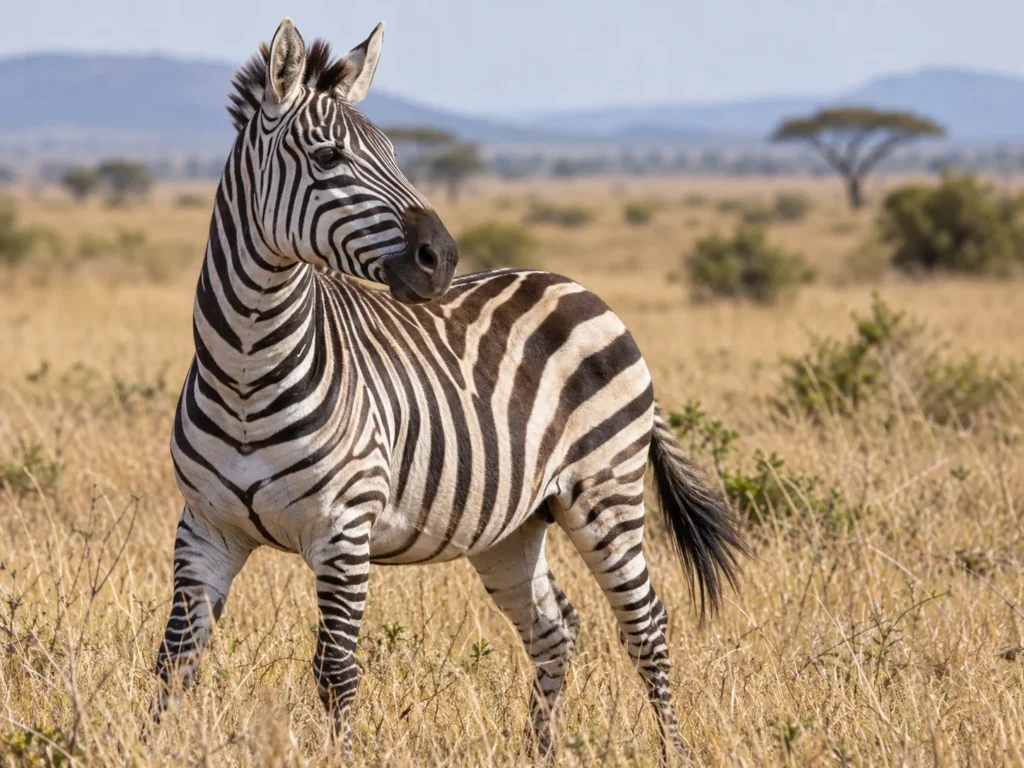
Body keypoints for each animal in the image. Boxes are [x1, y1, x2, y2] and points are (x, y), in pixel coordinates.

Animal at [154, 17, 747, 761]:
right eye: (327, 157)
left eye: (392, 152)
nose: (442, 258)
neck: (245, 366)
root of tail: (582, 290)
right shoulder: (205, 528)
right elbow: (176, 658)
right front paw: (156, 745)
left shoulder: (344, 529)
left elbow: (336, 671)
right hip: (514, 524)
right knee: (555, 628)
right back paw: (538, 751)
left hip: (606, 493)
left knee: (647, 628)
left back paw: (672, 749)